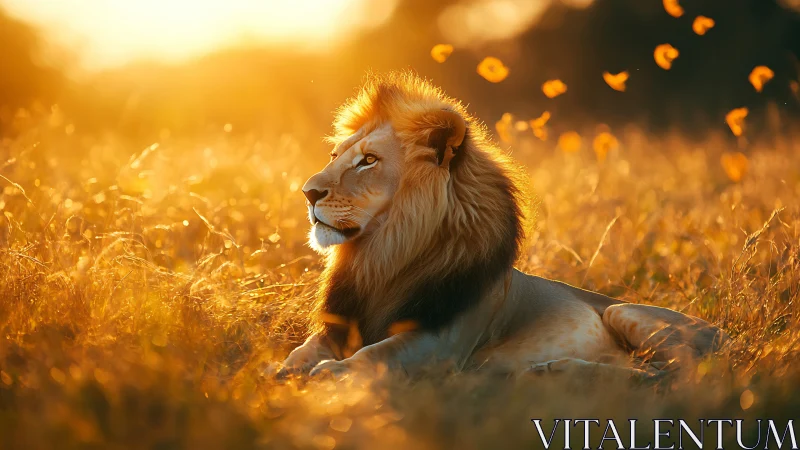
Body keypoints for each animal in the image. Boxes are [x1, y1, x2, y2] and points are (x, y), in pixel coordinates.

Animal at [275, 72, 728, 381]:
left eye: (368, 160)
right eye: (335, 155)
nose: (307, 192)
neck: (382, 254)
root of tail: (725, 333)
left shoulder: (439, 342)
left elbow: (375, 355)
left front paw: (330, 373)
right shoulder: (342, 322)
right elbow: (306, 348)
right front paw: (280, 371)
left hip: (625, 311)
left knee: (668, 376)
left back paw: (556, 369)